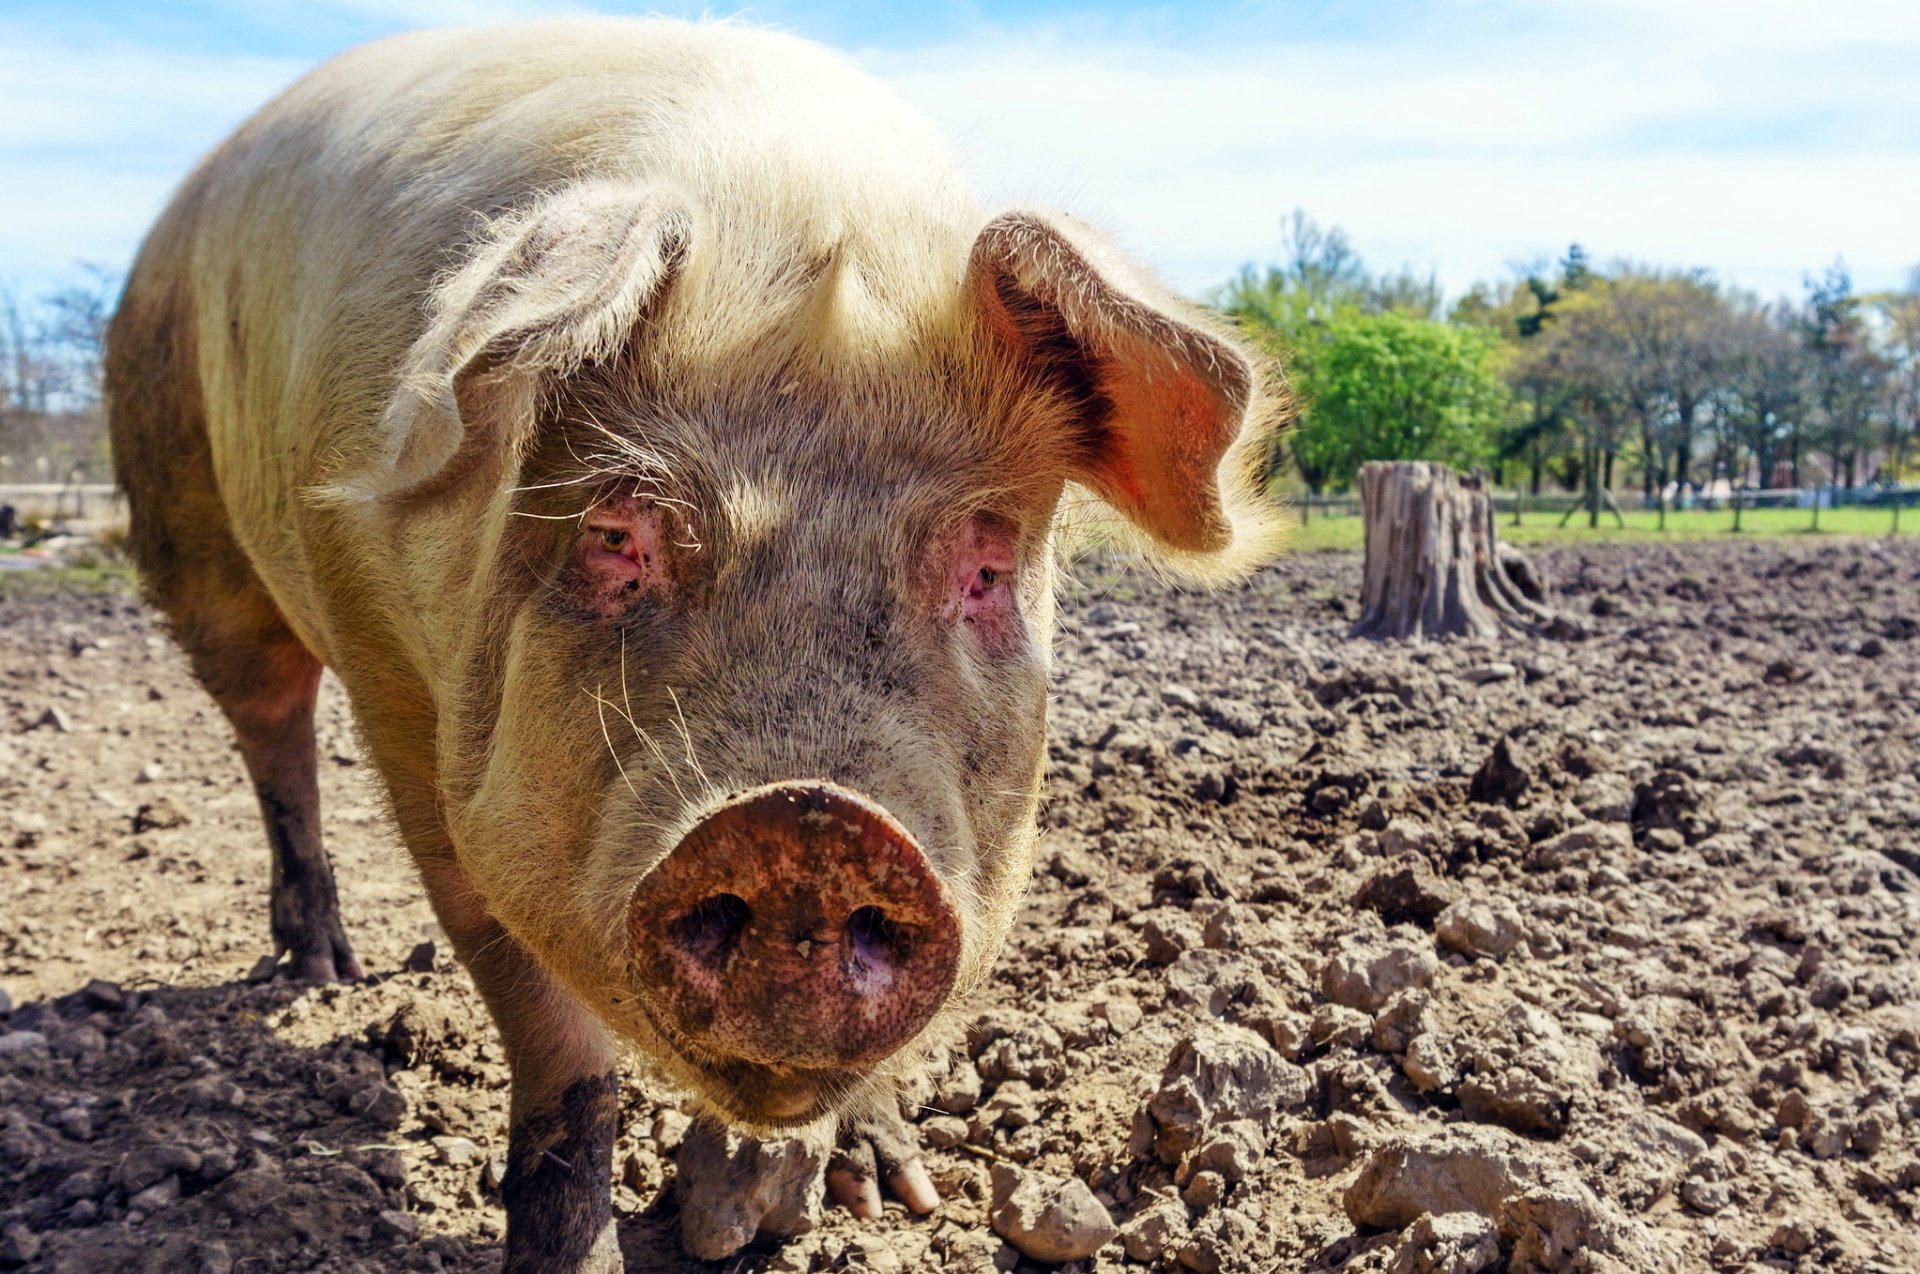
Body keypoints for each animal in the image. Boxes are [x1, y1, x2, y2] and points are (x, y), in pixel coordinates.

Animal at [105, 17, 1286, 1270]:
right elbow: (550, 1033)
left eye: (985, 570)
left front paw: (887, 1196)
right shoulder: (395, 690)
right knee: (271, 729)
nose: (809, 820)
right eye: (617, 533)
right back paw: (326, 967)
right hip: (184, 510)